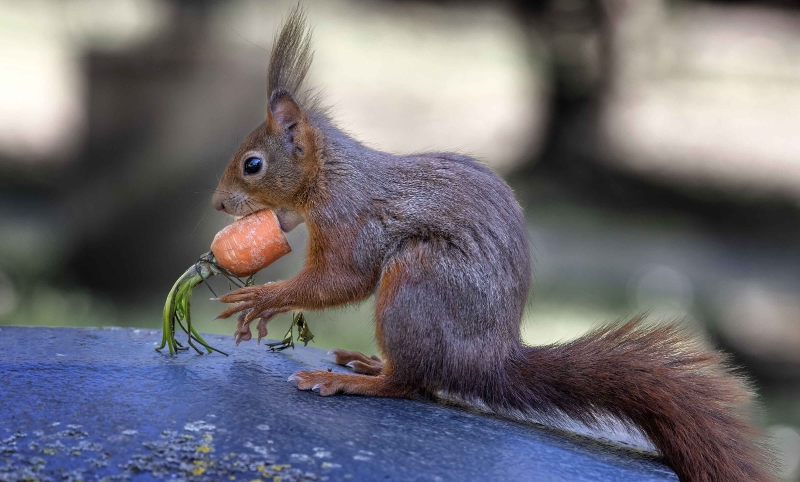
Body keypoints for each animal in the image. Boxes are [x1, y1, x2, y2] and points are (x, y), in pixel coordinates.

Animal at [212, 5, 776, 480]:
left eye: (253, 164)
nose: (218, 204)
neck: (330, 175)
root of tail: (487, 362)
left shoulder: (352, 221)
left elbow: (342, 280)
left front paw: (263, 297)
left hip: (418, 282)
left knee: (412, 384)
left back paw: (357, 380)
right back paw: (370, 363)